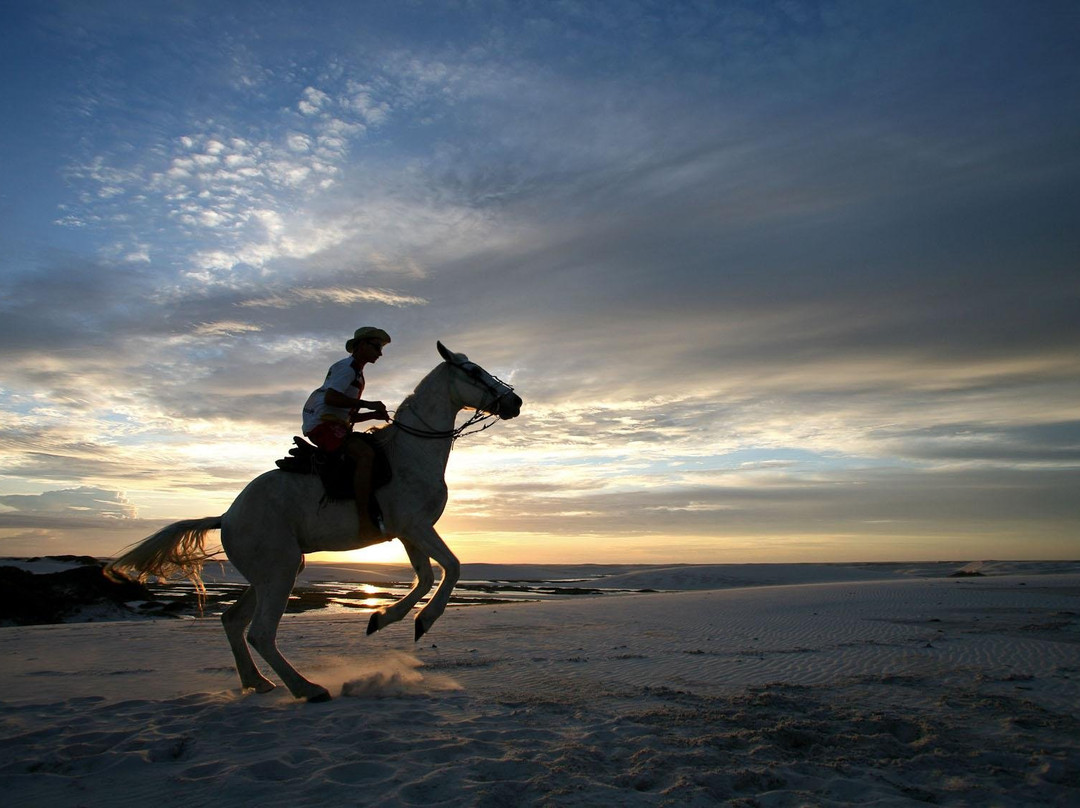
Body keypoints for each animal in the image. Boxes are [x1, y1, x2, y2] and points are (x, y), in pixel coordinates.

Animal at [107, 341, 520, 699]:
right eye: (474, 371)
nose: (514, 401)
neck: (412, 451)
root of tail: (227, 516)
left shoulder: (407, 533)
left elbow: (425, 577)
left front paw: (384, 618)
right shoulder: (416, 527)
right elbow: (451, 567)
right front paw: (424, 620)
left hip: (272, 572)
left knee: (234, 622)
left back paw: (257, 682)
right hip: (280, 571)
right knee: (260, 633)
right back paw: (307, 688)